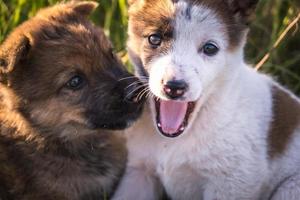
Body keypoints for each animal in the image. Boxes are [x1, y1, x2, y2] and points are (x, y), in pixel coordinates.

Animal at [113, 0, 300, 200]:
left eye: (210, 48)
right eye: (154, 39)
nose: (174, 87)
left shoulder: (229, 186)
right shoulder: (139, 173)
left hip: (289, 188)